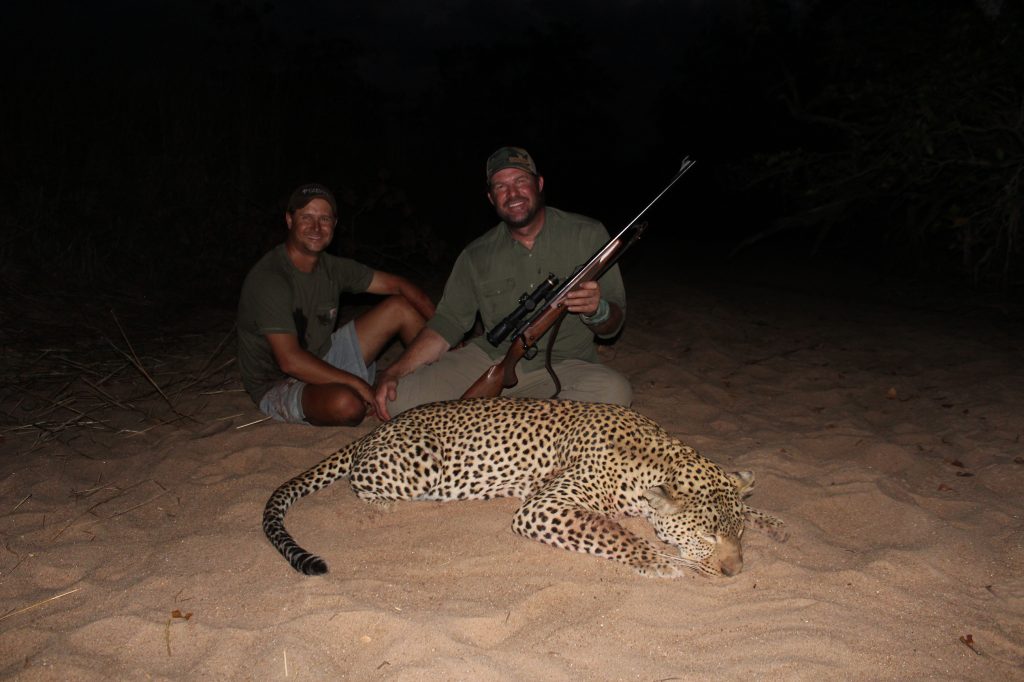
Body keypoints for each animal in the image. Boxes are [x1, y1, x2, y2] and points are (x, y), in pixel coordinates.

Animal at [263, 397, 786, 578]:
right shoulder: (545, 506)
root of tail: (376, 428)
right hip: (417, 465)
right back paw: (386, 510)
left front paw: (772, 521)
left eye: (739, 536)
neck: (650, 456)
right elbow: (610, 532)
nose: (736, 572)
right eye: (705, 537)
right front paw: (659, 561)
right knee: (362, 485)